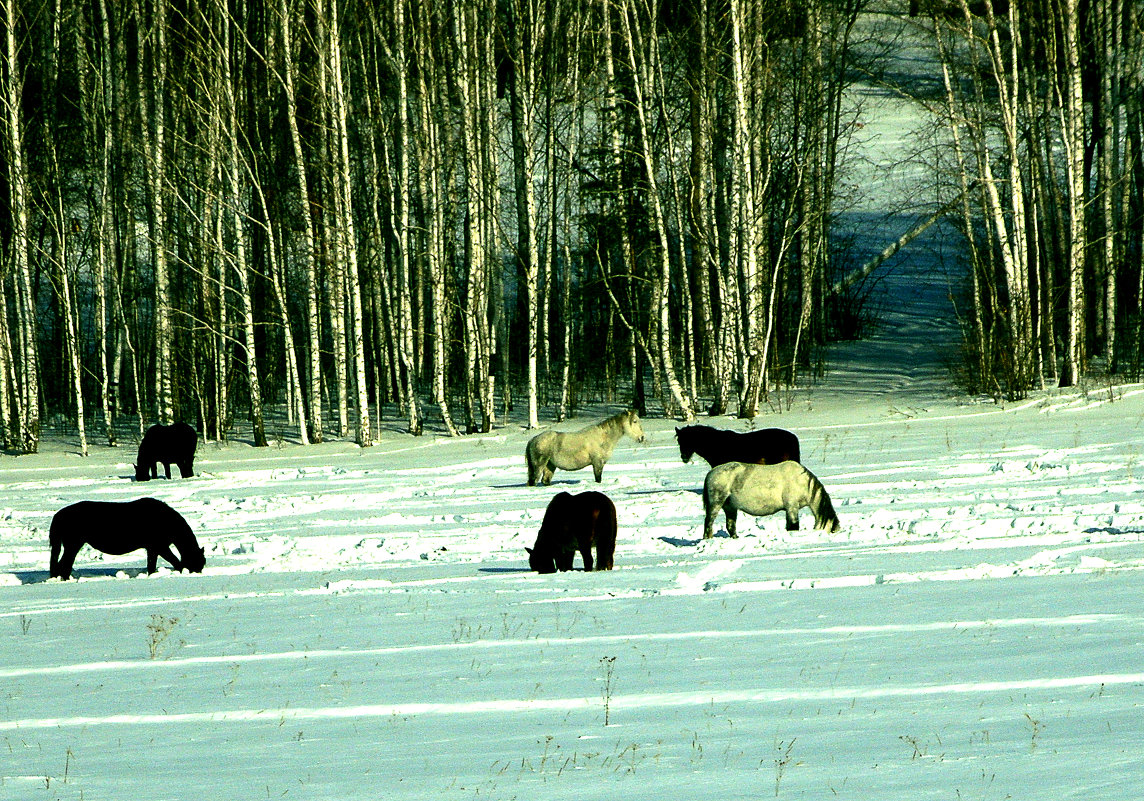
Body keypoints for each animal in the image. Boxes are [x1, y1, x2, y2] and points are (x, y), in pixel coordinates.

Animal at [48, 496, 205, 579]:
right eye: (198, 561)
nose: (198, 572)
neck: (166, 521)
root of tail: (58, 515)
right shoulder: (160, 547)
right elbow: (176, 562)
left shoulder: (152, 549)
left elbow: (151, 565)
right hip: (73, 544)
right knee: (65, 564)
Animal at [695, 457, 841, 537]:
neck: (801, 481)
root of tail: (711, 473)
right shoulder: (792, 507)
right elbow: (793, 526)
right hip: (716, 503)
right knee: (708, 523)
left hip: (730, 507)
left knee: (730, 526)